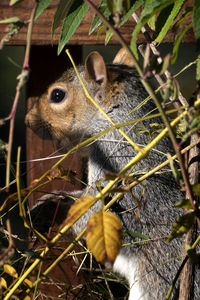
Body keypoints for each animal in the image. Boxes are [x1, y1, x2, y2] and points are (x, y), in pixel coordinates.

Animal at [25, 48, 199, 298]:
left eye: (57, 95)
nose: (28, 120)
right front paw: (52, 199)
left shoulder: (118, 172)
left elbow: (93, 214)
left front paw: (55, 208)